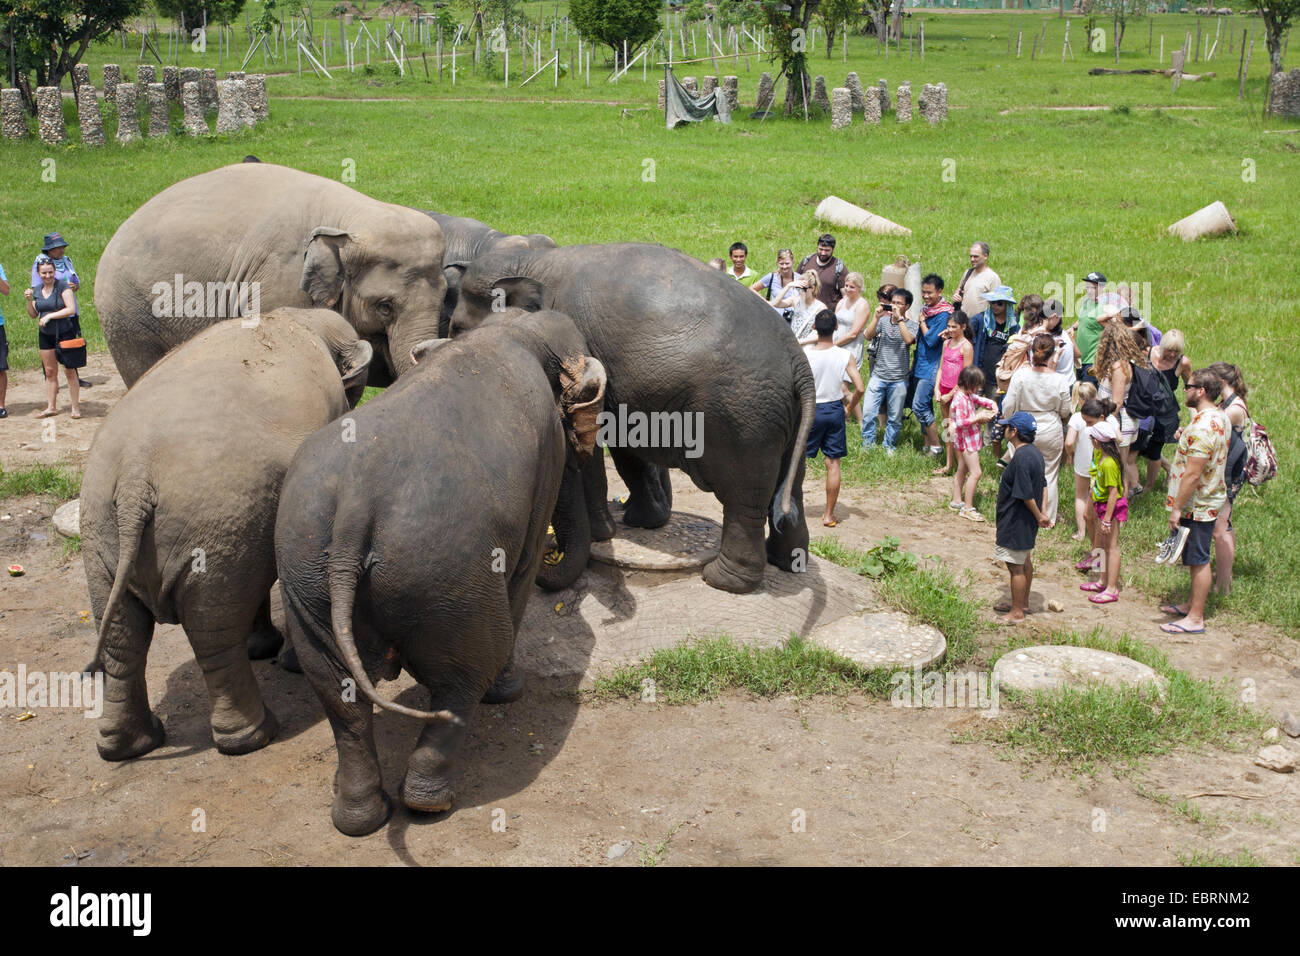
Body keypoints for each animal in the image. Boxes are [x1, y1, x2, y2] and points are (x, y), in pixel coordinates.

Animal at [79, 306, 371, 764]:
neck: (296, 319)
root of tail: (134, 478)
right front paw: (285, 659)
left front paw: (268, 651)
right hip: (216, 524)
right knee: (212, 631)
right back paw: (252, 737)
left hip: (103, 534)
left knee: (124, 636)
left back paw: (126, 746)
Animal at [275, 310, 608, 832]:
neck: (515, 328)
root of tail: (355, 509)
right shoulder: (547, 462)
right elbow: (523, 567)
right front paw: (510, 691)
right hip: (449, 580)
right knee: (465, 674)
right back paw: (429, 801)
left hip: (304, 575)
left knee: (339, 696)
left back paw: (359, 819)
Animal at [449, 243, 811, 595]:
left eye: (456, 328)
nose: (546, 558)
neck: (534, 259)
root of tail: (799, 365)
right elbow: (627, 448)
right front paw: (640, 522)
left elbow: (598, 448)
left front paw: (603, 534)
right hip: (778, 420)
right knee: (789, 489)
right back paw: (786, 562)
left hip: (744, 420)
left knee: (743, 499)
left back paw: (722, 581)